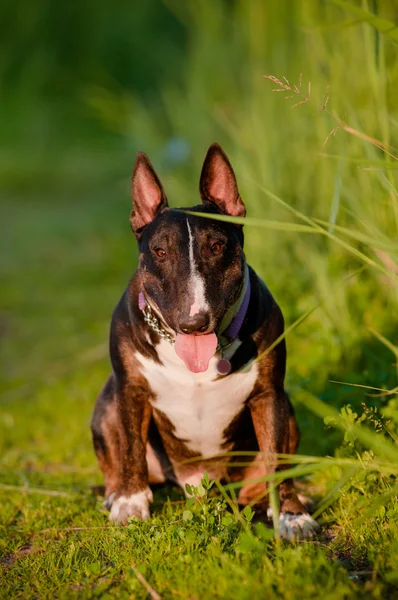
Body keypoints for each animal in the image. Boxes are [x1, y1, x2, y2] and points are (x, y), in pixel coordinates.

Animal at [91, 144, 318, 540]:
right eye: (160, 251)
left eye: (216, 246)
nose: (193, 323)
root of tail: (201, 485)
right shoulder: (131, 390)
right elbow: (131, 449)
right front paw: (130, 505)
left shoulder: (269, 395)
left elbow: (277, 459)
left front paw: (292, 516)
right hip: (106, 407)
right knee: (115, 458)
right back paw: (115, 495)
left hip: (288, 415)